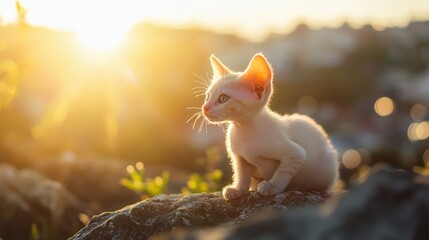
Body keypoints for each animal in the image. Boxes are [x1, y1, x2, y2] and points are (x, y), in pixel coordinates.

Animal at [200, 53, 338, 200]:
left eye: (223, 99)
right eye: (207, 96)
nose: (204, 108)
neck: (244, 130)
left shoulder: (295, 154)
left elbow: (283, 172)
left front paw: (272, 186)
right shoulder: (239, 158)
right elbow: (242, 174)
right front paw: (238, 189)